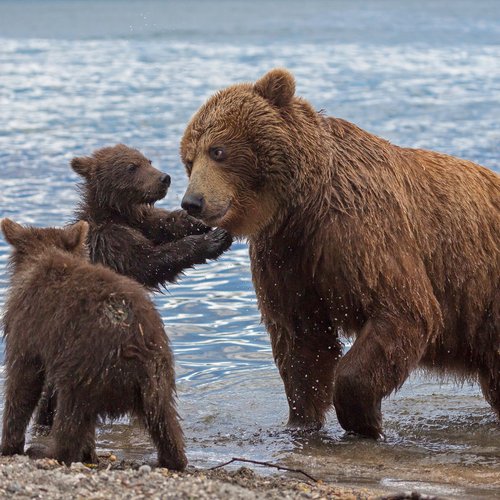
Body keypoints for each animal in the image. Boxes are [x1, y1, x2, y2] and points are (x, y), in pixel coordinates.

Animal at [180, 67, 500, 438]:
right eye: (189, 159)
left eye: (217, 151)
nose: (192, 202)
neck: (305, 205)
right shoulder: (286, 255)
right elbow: (303, 339)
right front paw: (301, 421)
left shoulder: (361, 232)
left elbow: (403, 310)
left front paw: (363, 418)